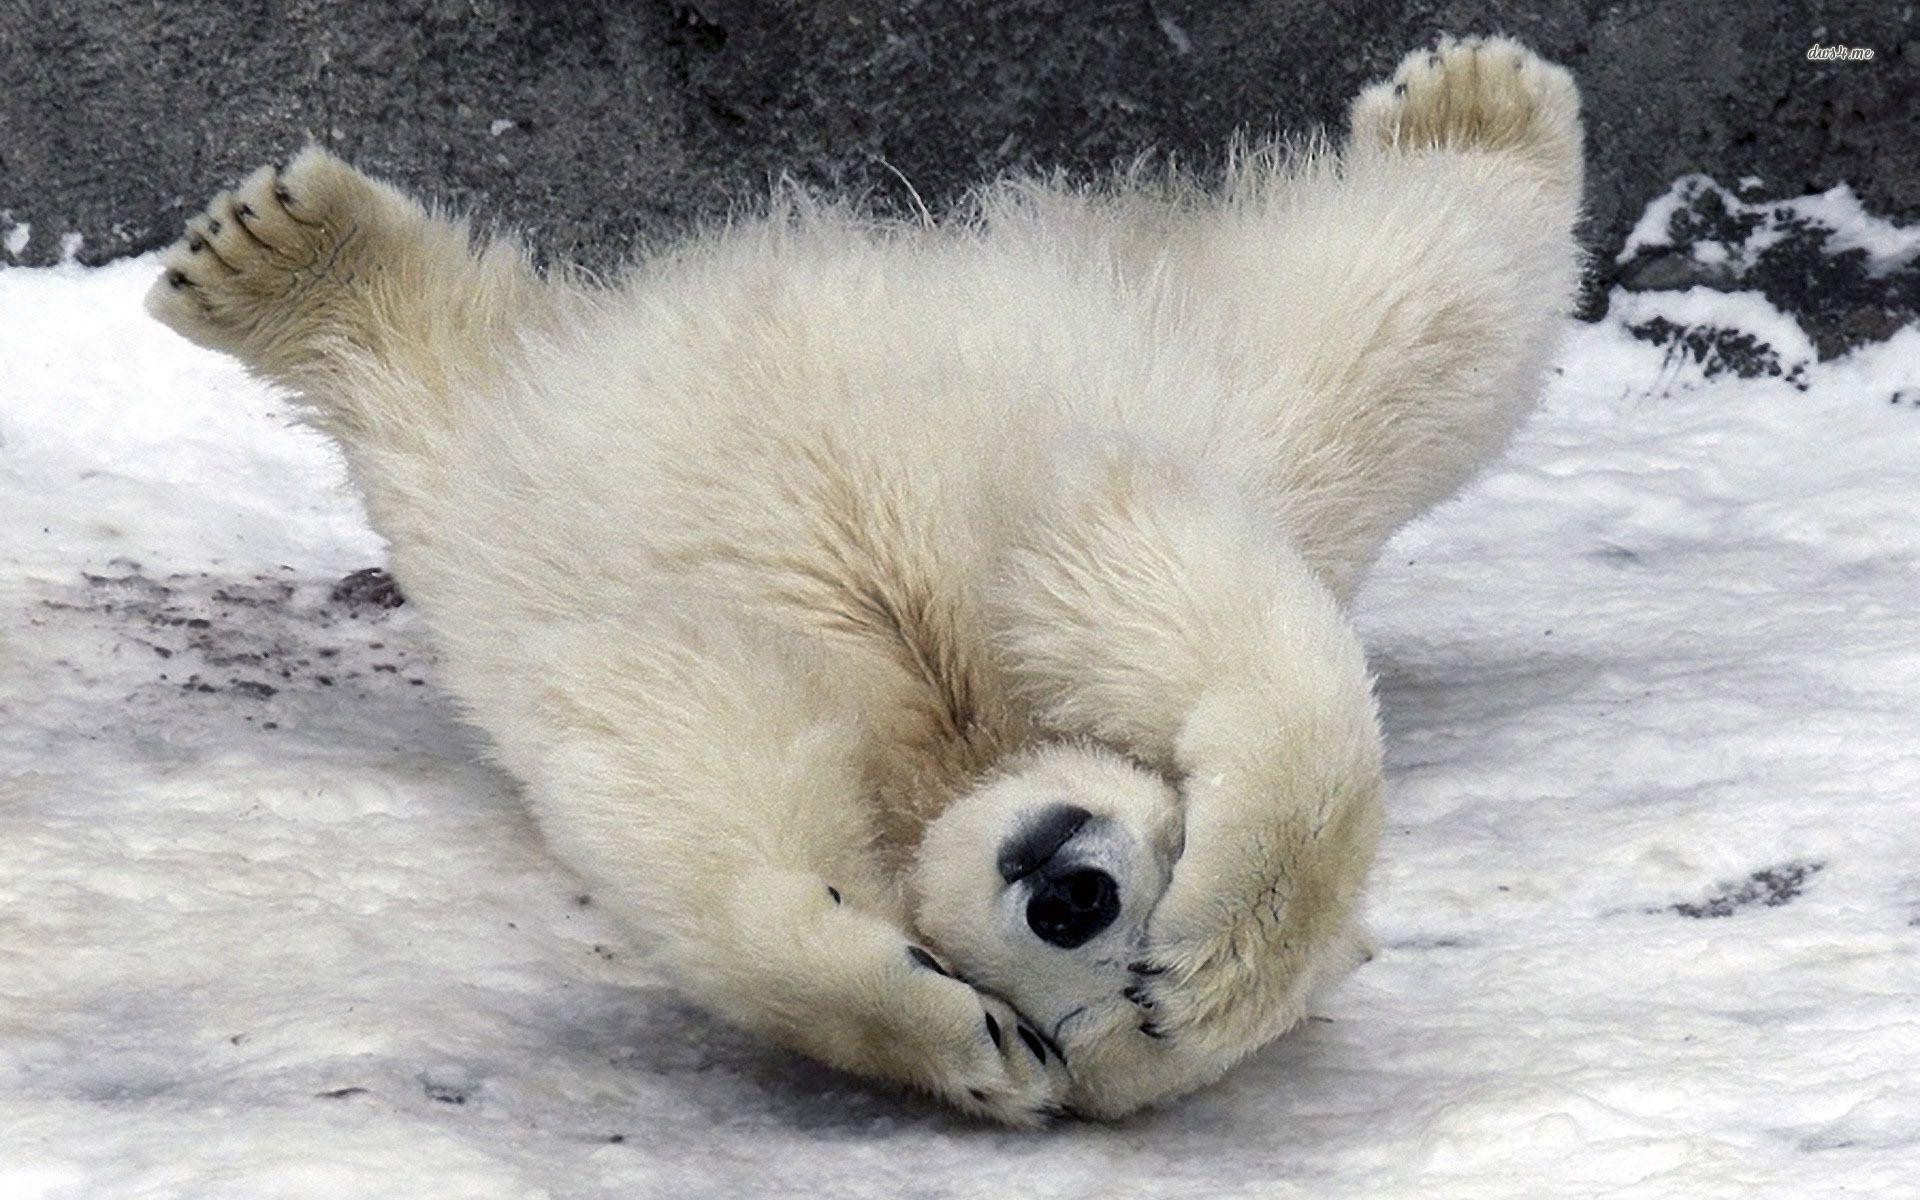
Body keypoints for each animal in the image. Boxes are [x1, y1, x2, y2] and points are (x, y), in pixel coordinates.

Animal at [145, 35, 1583, 1124]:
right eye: (1165, 867)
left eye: (1093, 1019)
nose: (1073, 888)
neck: (960, 741)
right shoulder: (1054, 552)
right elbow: (1144, 582)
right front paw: (1229, 925)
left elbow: (686, 743)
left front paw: (926, 1025)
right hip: (1222, 389)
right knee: (1399, 322)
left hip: (502, 512)